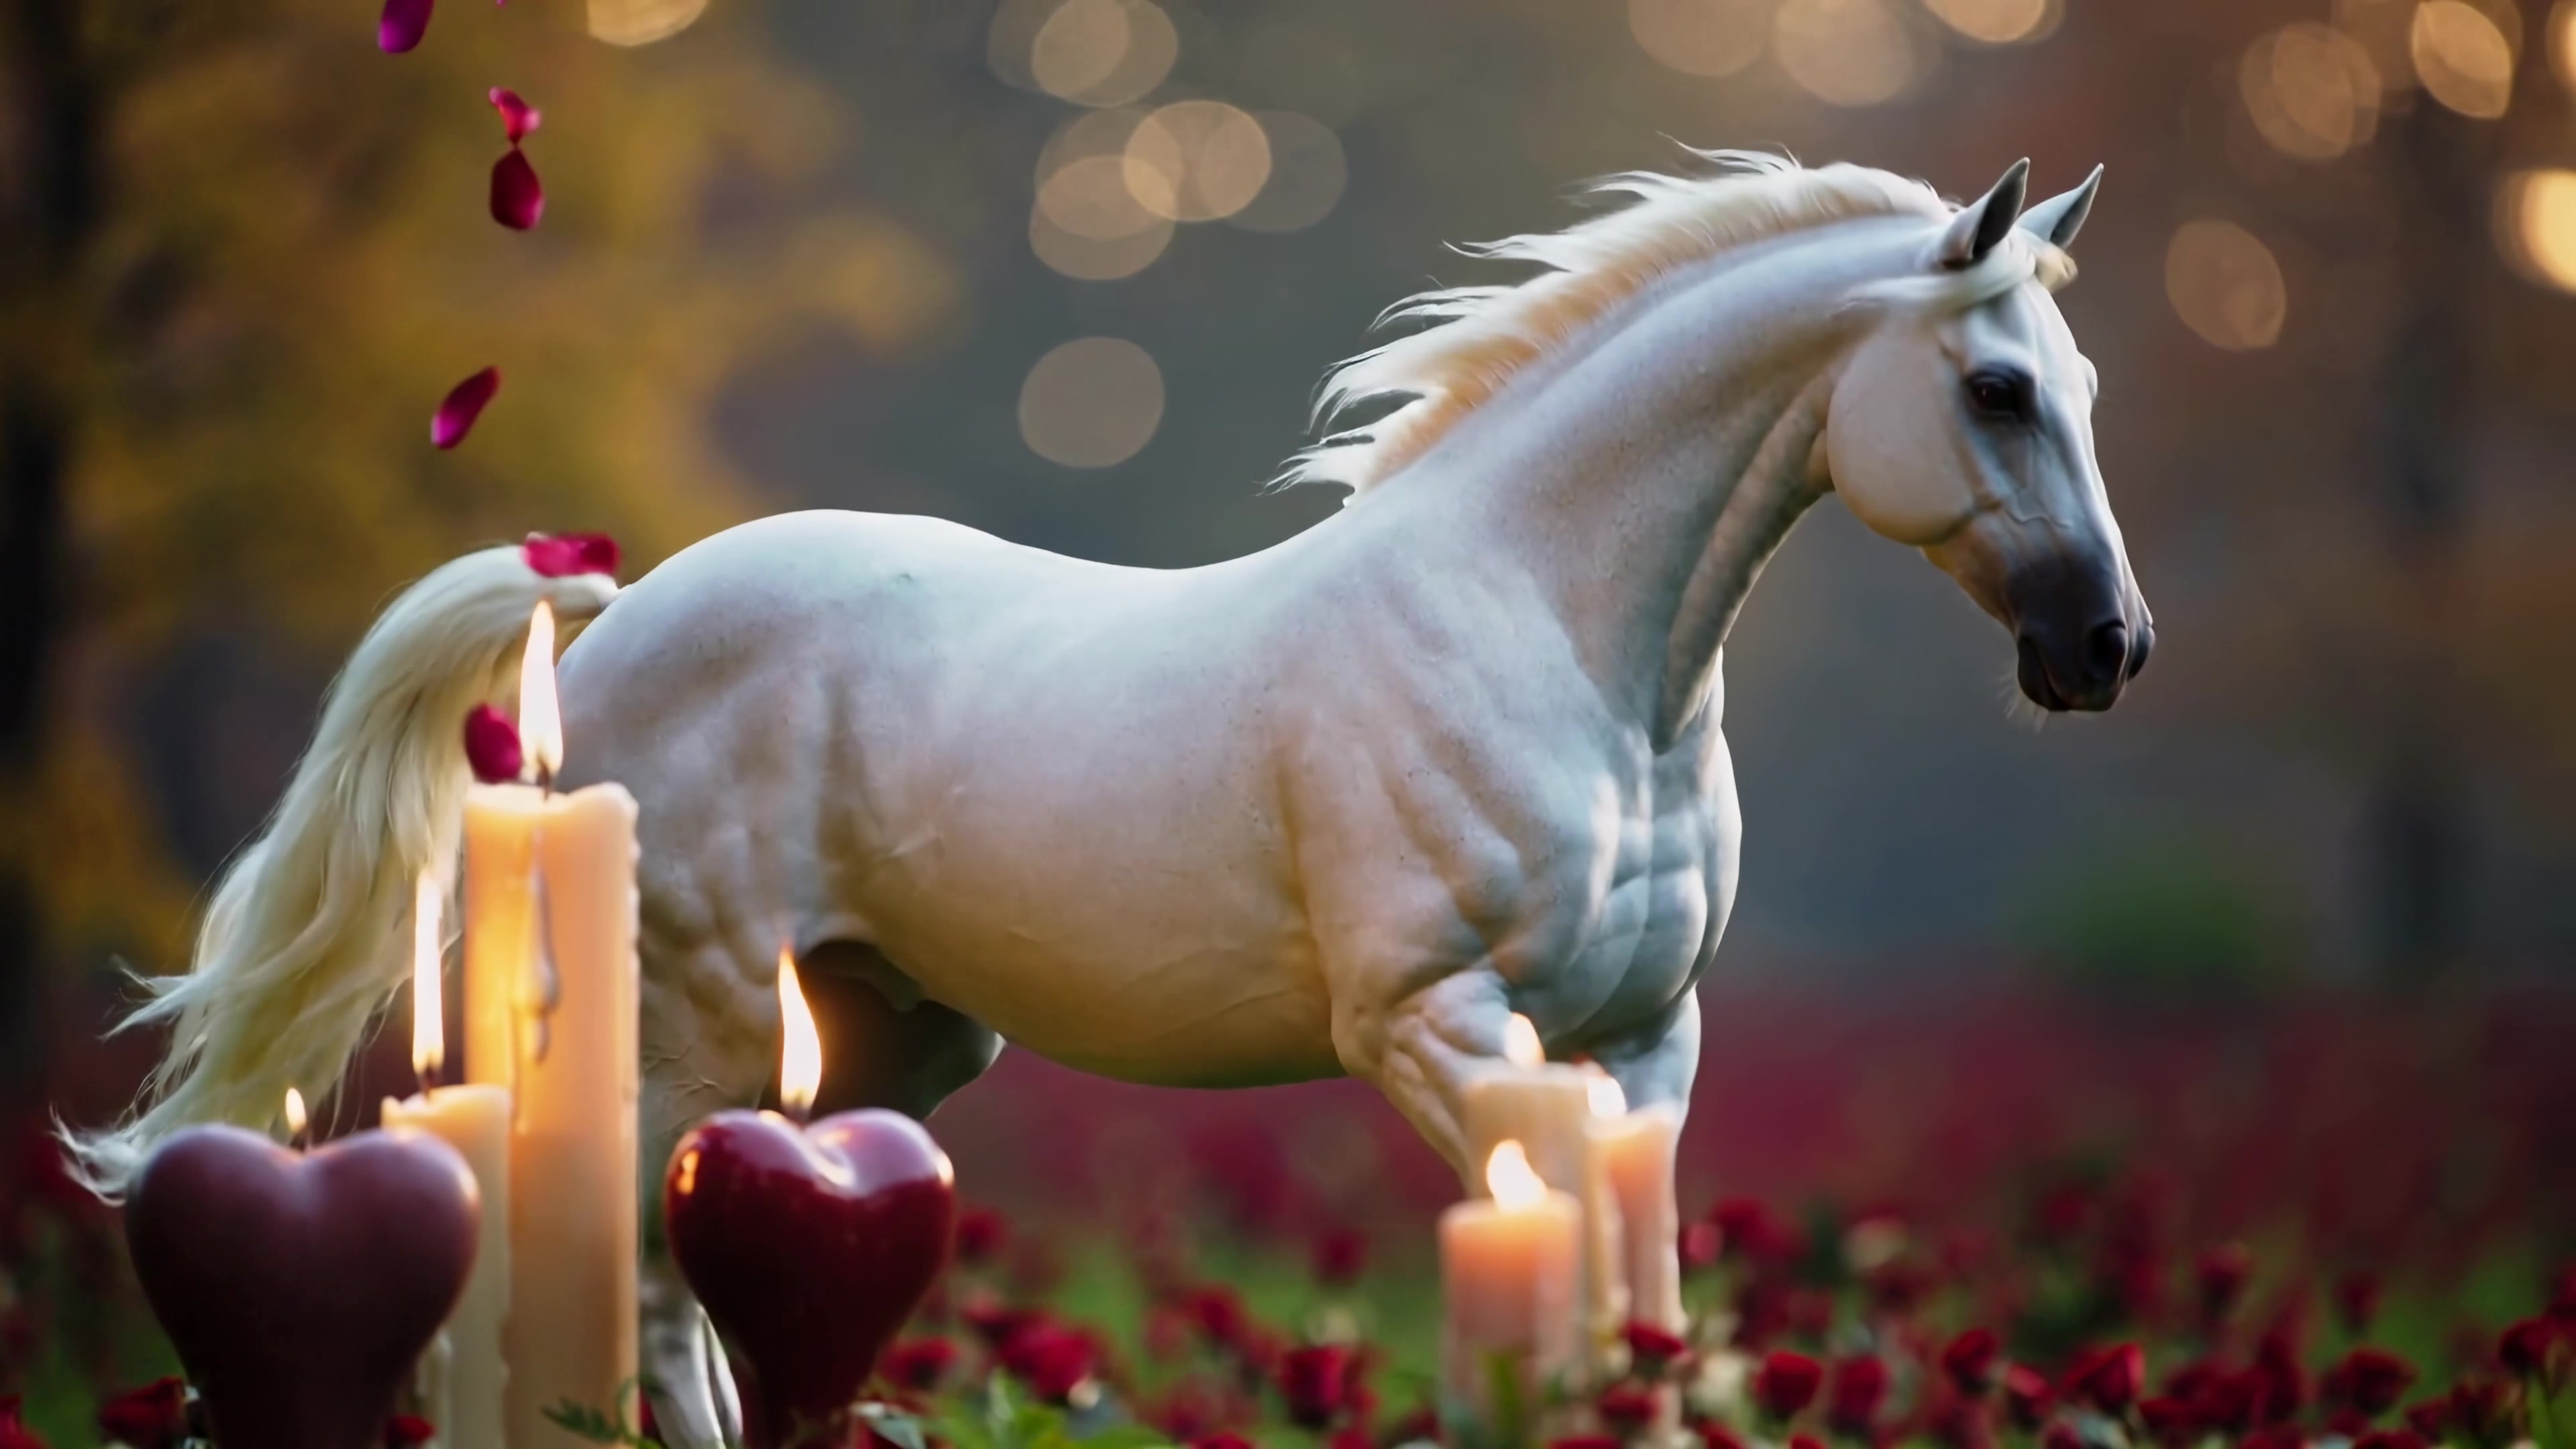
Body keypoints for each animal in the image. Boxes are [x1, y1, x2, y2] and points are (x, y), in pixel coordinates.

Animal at [69, 151, 2148, 1445]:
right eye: (1992, 387)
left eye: (2081, 379)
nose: (2105, 648)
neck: (1571, 650)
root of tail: (622, 609)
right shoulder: (1434, 1024)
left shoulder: (1643, 1044)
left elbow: (1632, 1286)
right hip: (701, 1022)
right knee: (646, 1269)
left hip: (882, 1048)